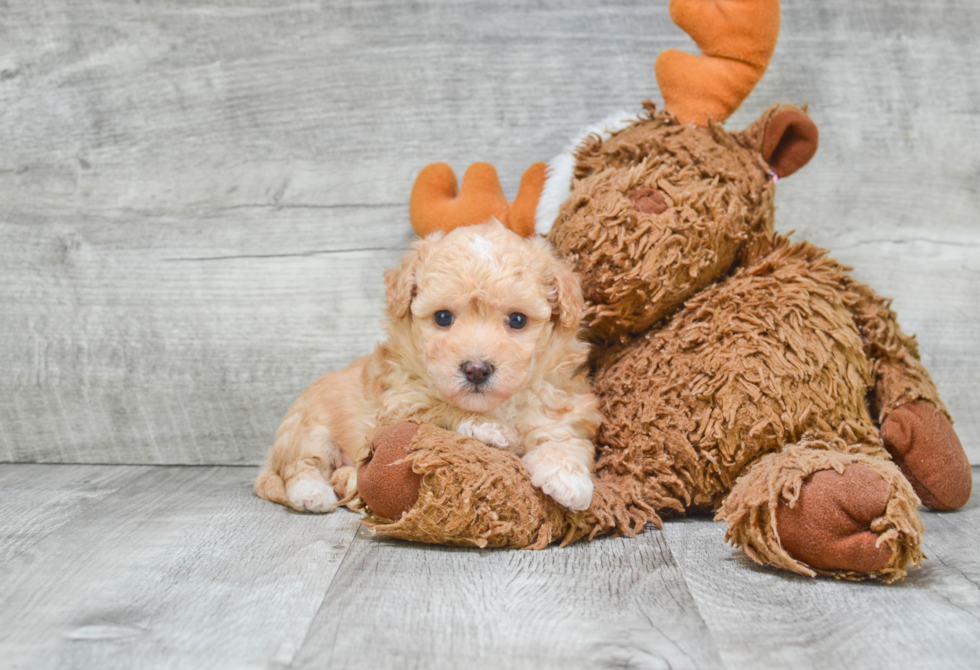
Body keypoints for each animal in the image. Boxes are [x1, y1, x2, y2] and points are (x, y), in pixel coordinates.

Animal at [253, 220, 600, 516]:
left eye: (517, 320)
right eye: (443, 317)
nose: (476, 369)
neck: (497, 405)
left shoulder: (557, 407)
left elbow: (564, 440)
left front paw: (568, 479)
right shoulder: (397, 407)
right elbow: (437, 409)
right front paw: (485, 428)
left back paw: (348, 482)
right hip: (308, 430)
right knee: (299, 467)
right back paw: (313, 493)